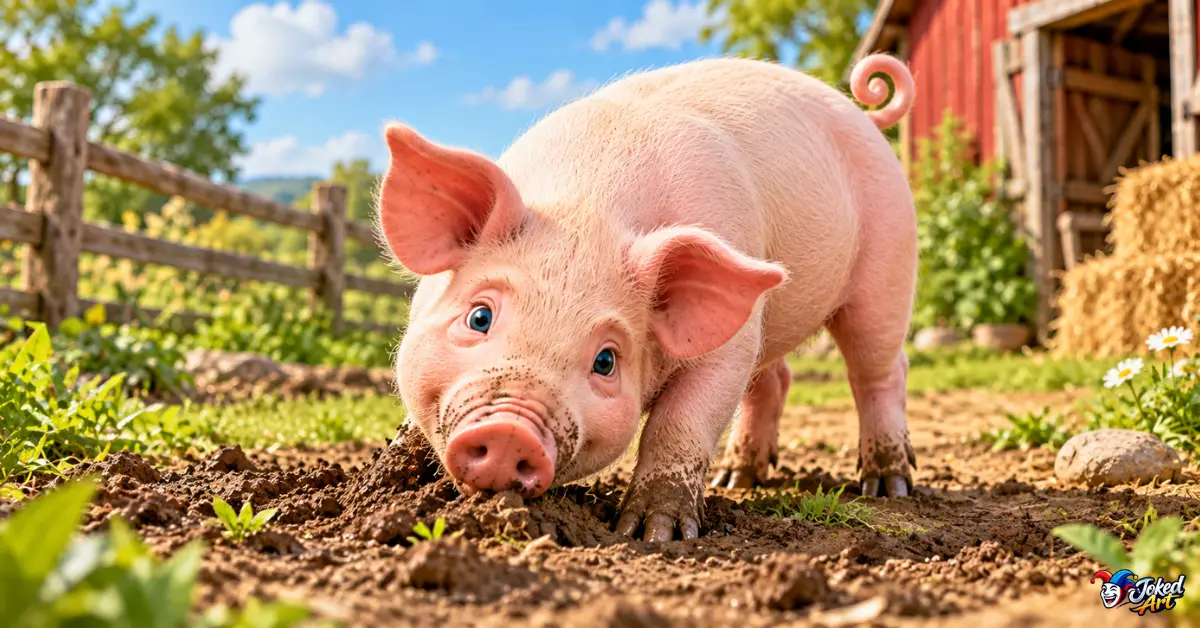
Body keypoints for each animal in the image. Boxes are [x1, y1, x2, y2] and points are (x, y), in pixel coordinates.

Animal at [379, 53, 917, 542]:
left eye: (606, 361)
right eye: (479, 317)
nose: (509, 430)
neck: (588, 207)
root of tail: (862, 112)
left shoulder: (729, 348)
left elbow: (678, 424)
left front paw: (653, 535)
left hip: (888, 266)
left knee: (880, 370)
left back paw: (888, 486)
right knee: (775, 380)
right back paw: (738, 479)